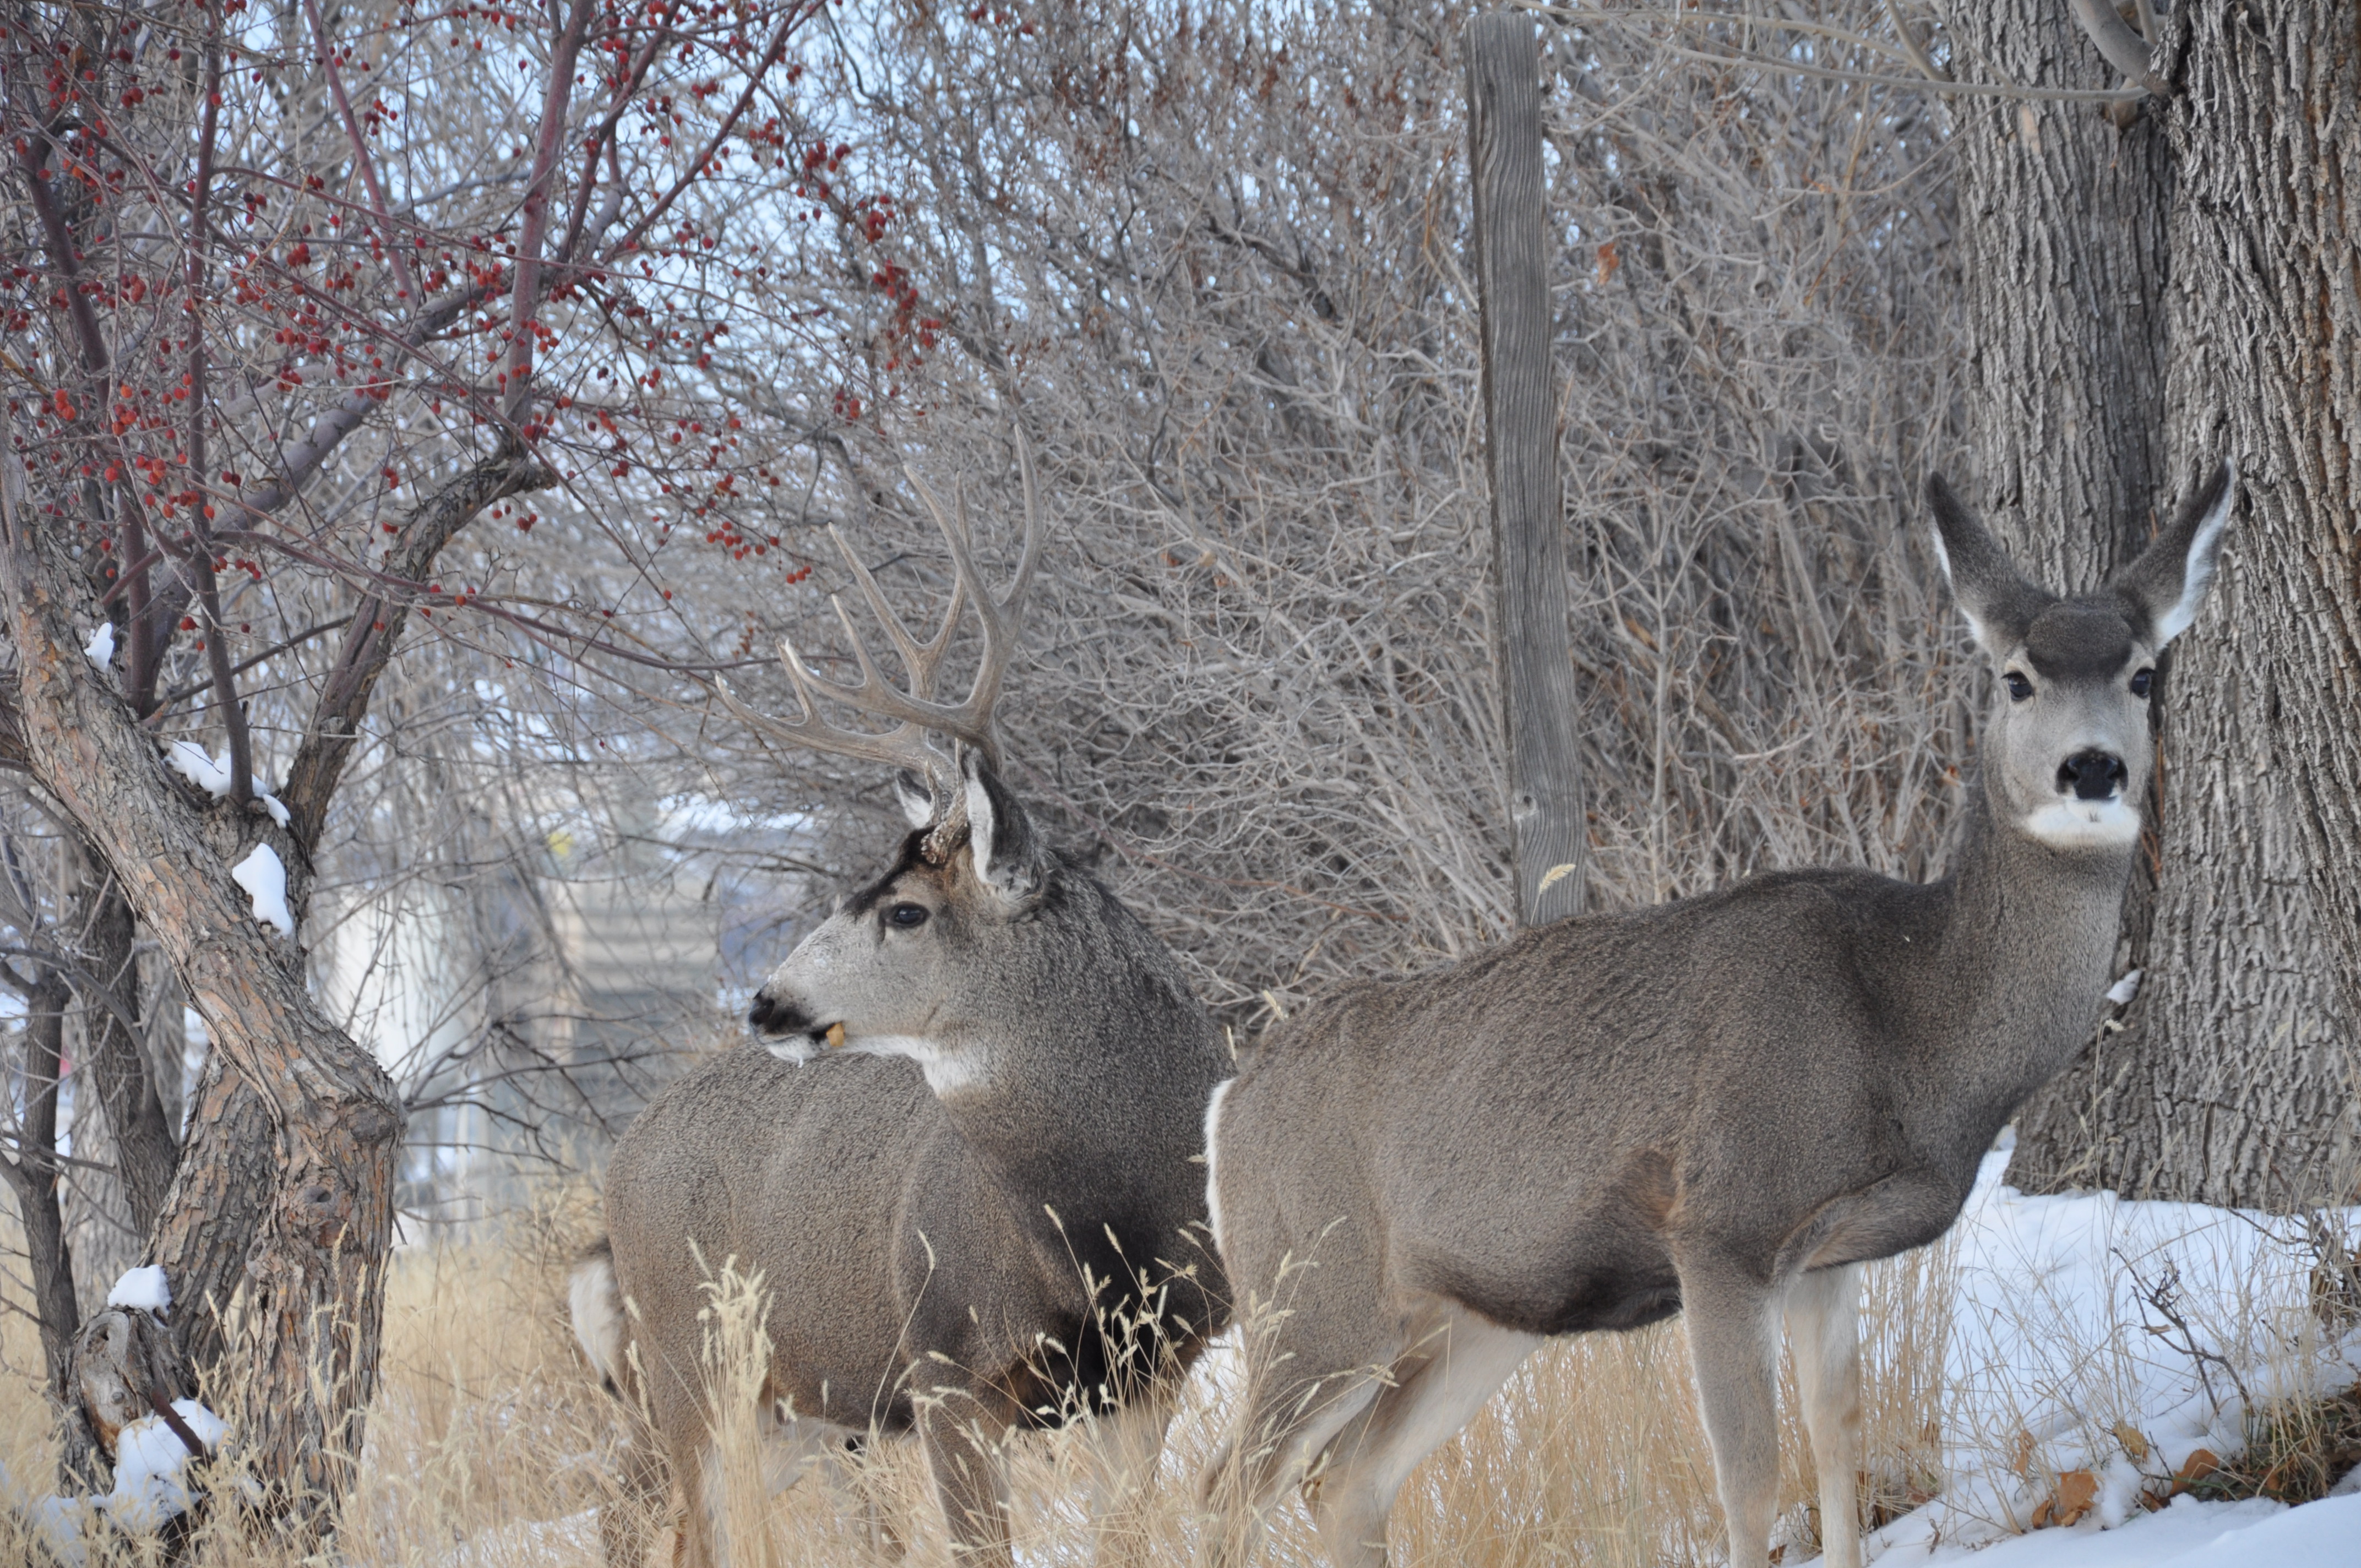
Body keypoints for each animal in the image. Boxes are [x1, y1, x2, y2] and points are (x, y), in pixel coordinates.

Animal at [576, 444, 1237, 1567]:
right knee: (680, 1526)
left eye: (906, 910)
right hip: (694, 1364)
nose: (766, 1002)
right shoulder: (943, 1368)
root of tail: (619, 1167)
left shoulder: (1155, 1371)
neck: (1107, 1231)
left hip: (797, 1408)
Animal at [1199, 472, 2228, 1567]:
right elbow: (1750, 1479)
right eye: (2017, 678)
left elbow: (1837, 1439)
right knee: (1224, 1490)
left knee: (1347, 1480)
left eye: (2143, 674)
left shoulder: (1829, 1252)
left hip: (1472, 1317)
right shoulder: (1724, 1223)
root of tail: (1228, 1101)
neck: (1910, 1024)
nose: (2092, 769)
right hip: (1312, 1293)